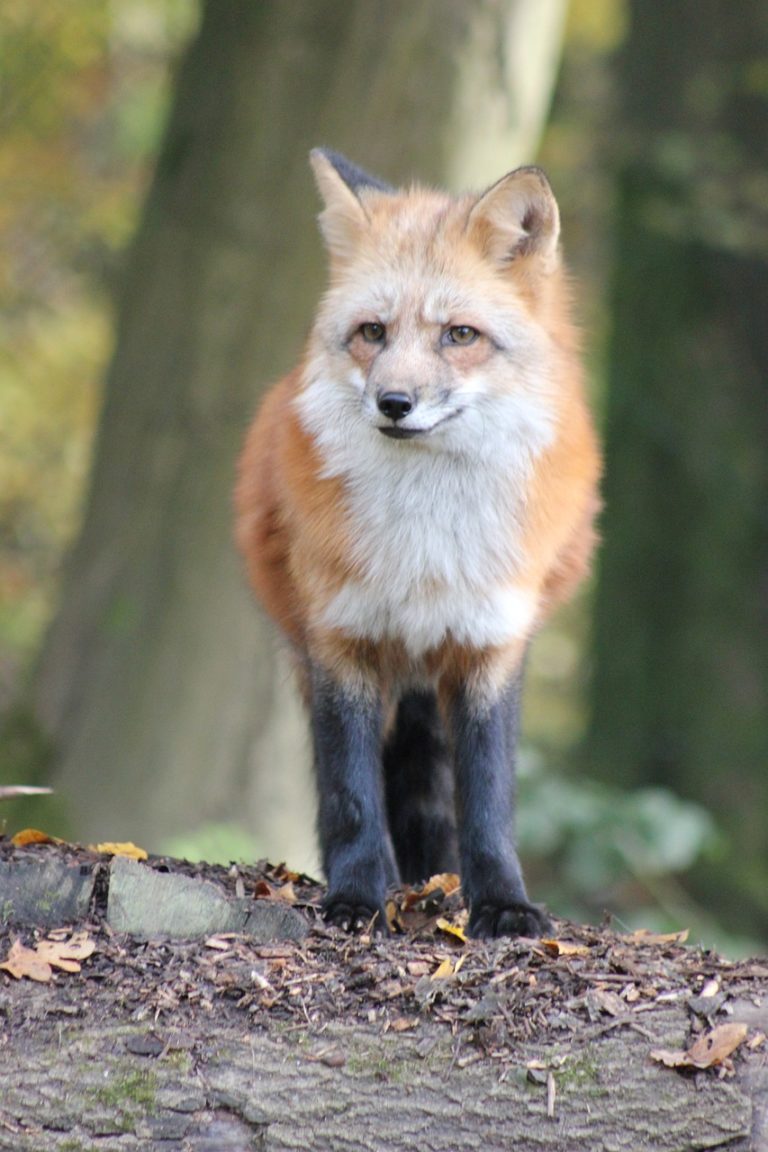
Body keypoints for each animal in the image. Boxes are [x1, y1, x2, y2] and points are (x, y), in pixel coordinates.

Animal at [234, 148, 598, 935]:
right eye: (372, 332)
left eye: (459, 335)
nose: (394, 403)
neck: (423, 548)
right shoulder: (339, 639)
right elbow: (350, 794)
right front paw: (356, 895)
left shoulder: (492, 644)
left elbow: (487, 800)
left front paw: (501, 903)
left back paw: (436, 880)